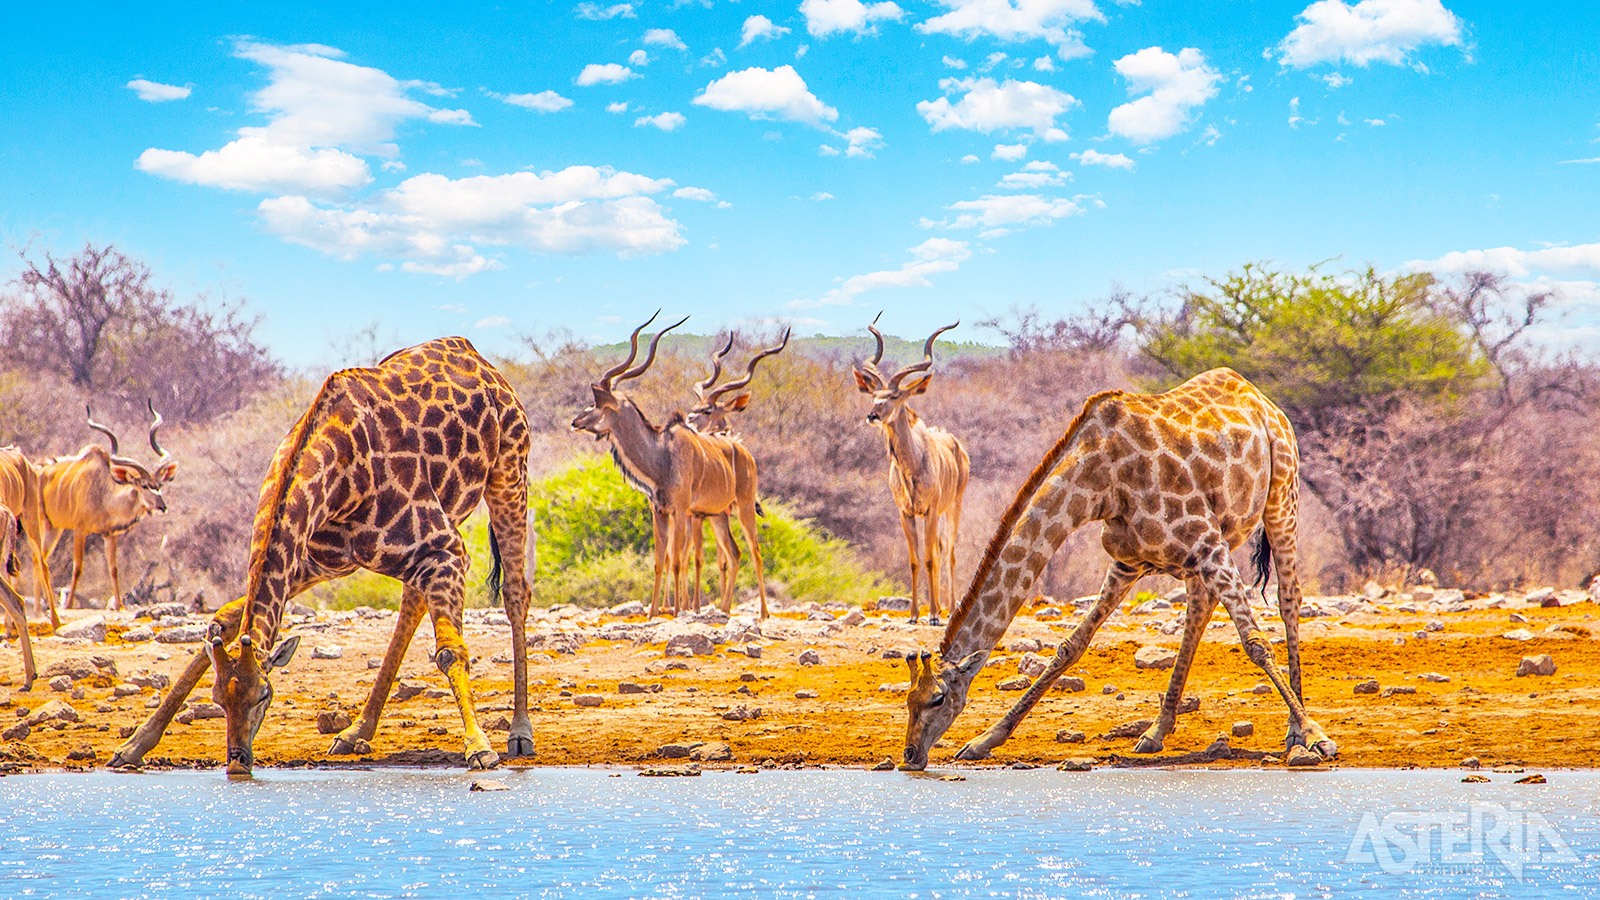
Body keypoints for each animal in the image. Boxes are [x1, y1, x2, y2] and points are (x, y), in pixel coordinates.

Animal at [42, 405, 176, 608]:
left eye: (159, 485)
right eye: (144, 485)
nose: (162, 507)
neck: (103, 495)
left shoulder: (110, 535)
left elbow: (113, 568)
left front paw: (119, 606)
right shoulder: (80, 530)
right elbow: (77, 567)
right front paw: (69, 605)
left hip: (54, 528)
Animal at [114, 336, 537, 771]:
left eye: (264, 695)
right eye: (217, 700)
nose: (237, 760)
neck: (339, 473)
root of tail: (473, 353)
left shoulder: (446, 548)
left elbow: (451, 652)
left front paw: (480, 746)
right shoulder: (307, 561)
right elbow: (225, 619)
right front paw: (136, 742)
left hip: (508, 476)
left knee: (515, 592)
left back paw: (519, 732)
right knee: (413, 601)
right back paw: (355, 732)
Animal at [572, 312, 771, 611]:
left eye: (599, 405)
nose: (576, 421)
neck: (661, 456)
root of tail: (745, 452)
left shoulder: (680, 510)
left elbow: (677, 560)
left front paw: (678, 611)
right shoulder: (660, 511)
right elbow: (659, 561)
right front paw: (655, 612)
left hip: (744, 506)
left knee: (754, 551)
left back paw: (762, 614)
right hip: (718, 514)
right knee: (734, 553)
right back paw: (724, 609)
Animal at [857, 317, 966, 624]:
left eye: (895, 395)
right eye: (874, 395)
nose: (872, 415)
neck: (913, 465)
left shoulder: (929, 510)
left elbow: (929, 559)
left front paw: (934, 615)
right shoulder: (905, 513)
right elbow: (915, 559)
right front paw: (915, 614)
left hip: (953, 508)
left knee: (948, 553)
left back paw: (949, 608)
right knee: (940, 551)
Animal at [902, 368, 1337, 768]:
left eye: (938, 698)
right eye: (908, 698)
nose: (910, 754)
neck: (1100, 482)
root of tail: (1263, 401)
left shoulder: (1205, 543)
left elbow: (1256, 643)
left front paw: (1316, 734)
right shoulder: (1130, 561)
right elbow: (1070, 646)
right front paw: (983, 740)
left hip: (1281, 499)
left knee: (1288, 598)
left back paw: (1294, 731)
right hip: (1217, 541)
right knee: (1200, 608)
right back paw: (1156, 731)